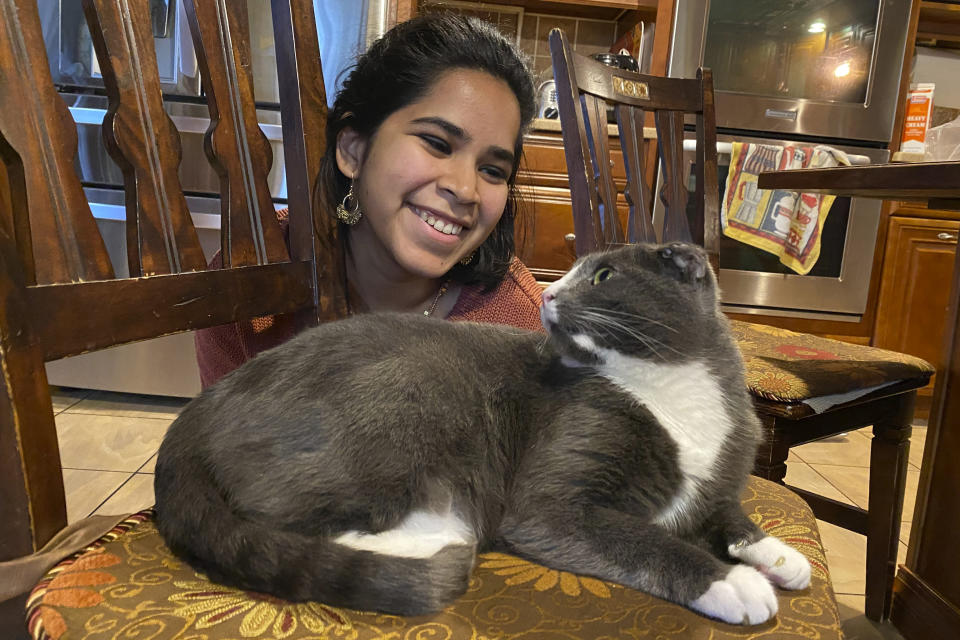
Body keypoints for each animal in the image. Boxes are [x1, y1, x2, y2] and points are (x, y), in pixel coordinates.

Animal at [156, 242, 808, 624]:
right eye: (574, 273)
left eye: (602, 275)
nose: (549, 292)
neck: (671, 387)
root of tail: (193, 416)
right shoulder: (552, 503)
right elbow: (643, 538)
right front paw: (734, 582)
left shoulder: (718, 478)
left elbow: (729, 515)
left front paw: (780, 555)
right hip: (407, 395)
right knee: (284, 521)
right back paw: (435, 539)